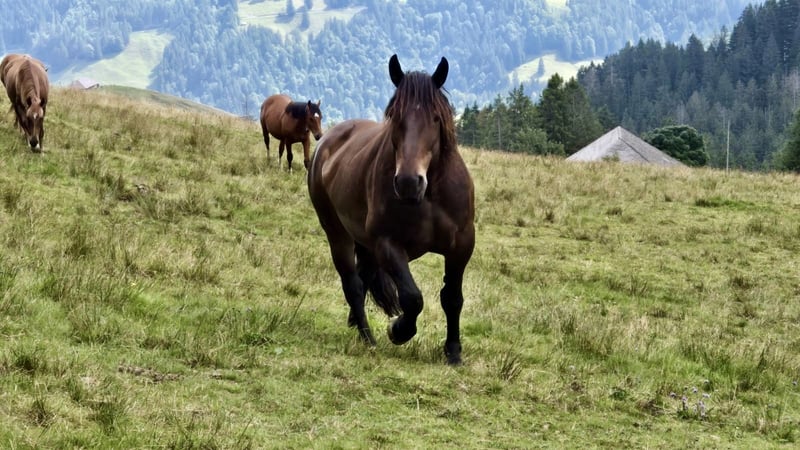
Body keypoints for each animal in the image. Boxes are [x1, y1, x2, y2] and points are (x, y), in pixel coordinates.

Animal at [307, 54, 475, 365]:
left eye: (436, 118)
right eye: (396, 117)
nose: (409, 182)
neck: (429, 196)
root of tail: (327, 141)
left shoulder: (462, 246)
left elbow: (452, 298)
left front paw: (453, 352)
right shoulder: (388, 245)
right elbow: (412, 297)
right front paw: (399, 330)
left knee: (363, 278)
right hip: (337, 234)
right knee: (353, 284)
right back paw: (367, 337)